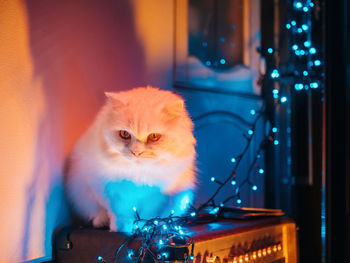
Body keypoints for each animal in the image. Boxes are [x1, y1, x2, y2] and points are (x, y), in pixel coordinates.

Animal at [65, 86, 197, 233]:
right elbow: (119, 214)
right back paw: (101, 222)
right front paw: (120, 229)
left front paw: (142, 228)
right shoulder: (107, 190)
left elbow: (146, 215)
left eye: (154, 136)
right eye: (124, 134)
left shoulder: (155, 197)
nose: (136, 152)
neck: (137, 174)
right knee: (97, 213)